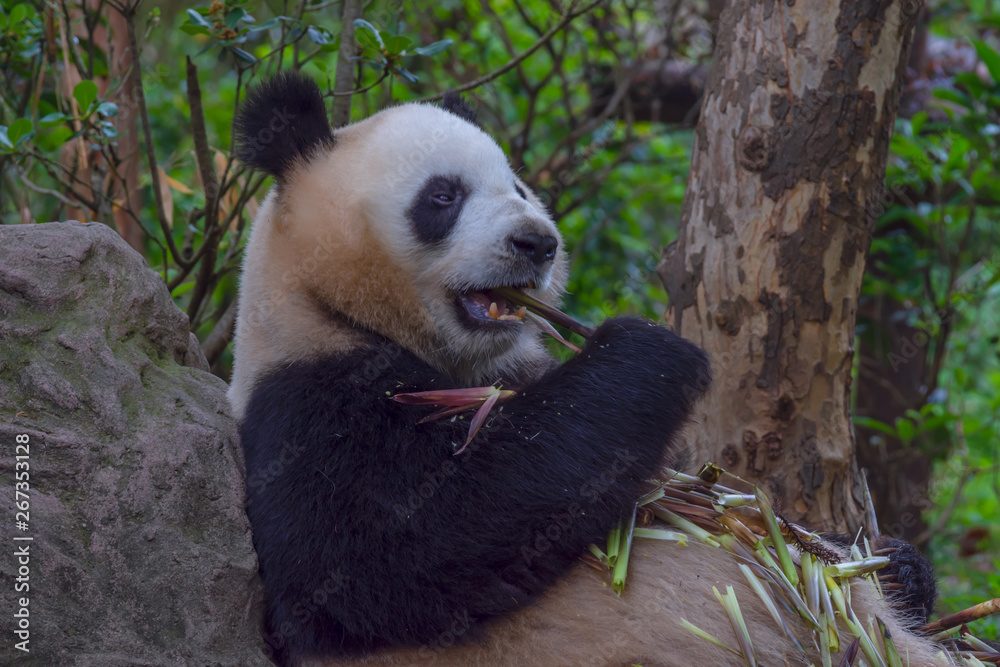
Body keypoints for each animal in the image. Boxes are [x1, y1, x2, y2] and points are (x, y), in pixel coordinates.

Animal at [228, 73, 942, 667]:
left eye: (518, 187)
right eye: (443, 196)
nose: (536, 242)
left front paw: (896, 566)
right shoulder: (306, 405)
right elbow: (398, 551)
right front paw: (649, 351)